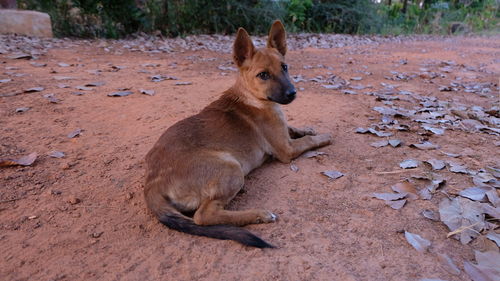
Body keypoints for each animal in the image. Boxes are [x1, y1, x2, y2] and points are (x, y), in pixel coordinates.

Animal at [145, 20, 332, 247]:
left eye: (285, 67)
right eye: (263, 75)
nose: (292, 93)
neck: (252, 96)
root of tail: (152, 184)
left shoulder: (283, 133)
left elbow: (294, 128)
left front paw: (307, 128)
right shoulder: (286, 150)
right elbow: (308, 140)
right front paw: (324, 136)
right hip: (230, 166)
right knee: (204, 216)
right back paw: (259, 214)